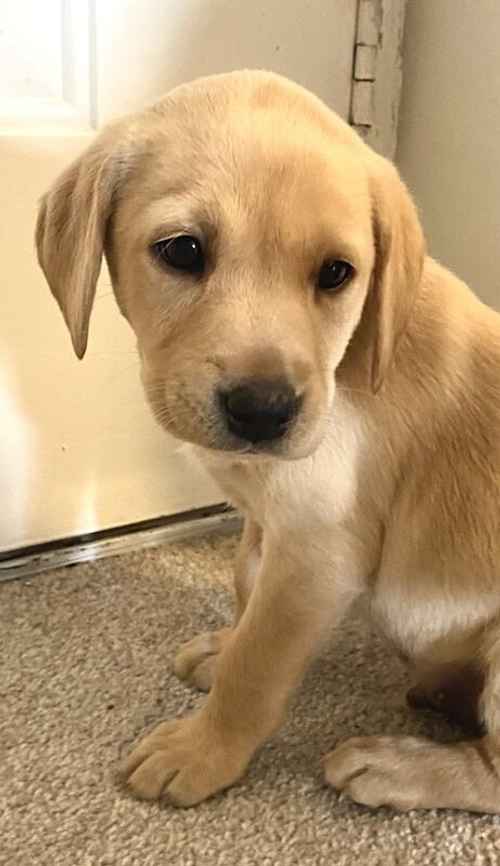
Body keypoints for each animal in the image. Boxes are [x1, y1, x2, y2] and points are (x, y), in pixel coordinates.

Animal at [36, 69, 500, 808]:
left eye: (337, 273)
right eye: (183, 250)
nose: (263, 410)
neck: (347, 361)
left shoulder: (316, 551)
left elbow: (256, 668)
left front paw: (202, 750)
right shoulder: (265, 520)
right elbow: (244, 584)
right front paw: (223, 647)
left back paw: (396, 766)